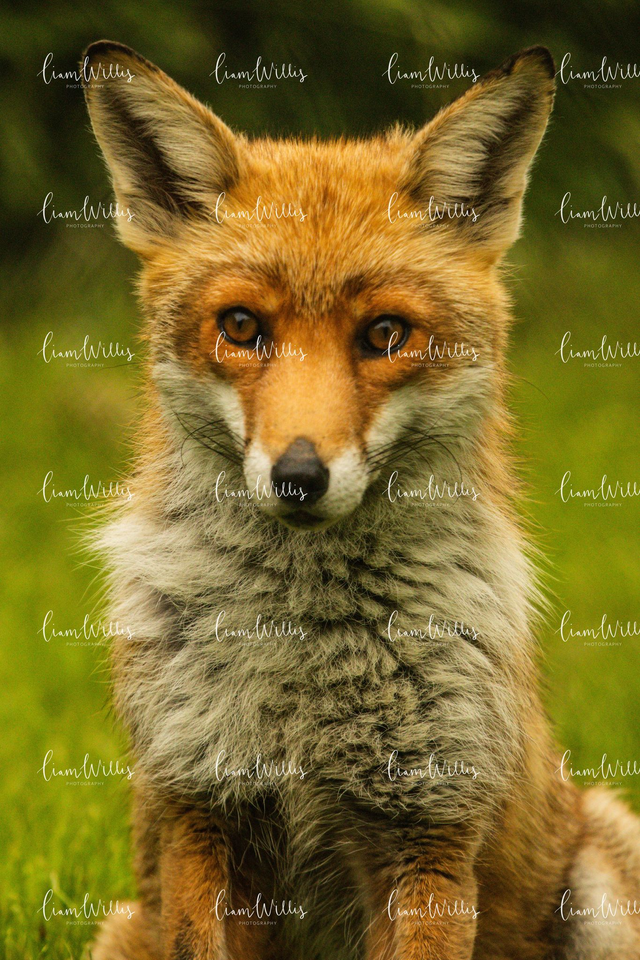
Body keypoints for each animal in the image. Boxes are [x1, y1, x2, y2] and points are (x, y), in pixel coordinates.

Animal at [81, 40, 640, 960]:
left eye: (384, 334)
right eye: (241, 326)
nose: (298, 475)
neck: (307, 656)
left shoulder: (430, 835)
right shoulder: (201, 812)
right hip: (125, 927)